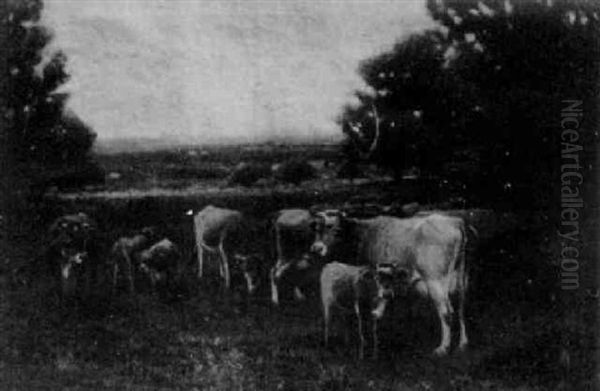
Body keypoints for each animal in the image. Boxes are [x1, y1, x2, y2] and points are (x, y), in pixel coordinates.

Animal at [312, 213, 472, 356]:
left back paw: (443, 348)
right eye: (317, 229)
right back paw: (462, 344)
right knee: (460, 308)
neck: (366, 235)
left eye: (335, 230)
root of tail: (454, 221)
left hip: (435, 281)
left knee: (446, 312)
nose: (316, 248)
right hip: (460, 280)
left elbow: (380, 302)